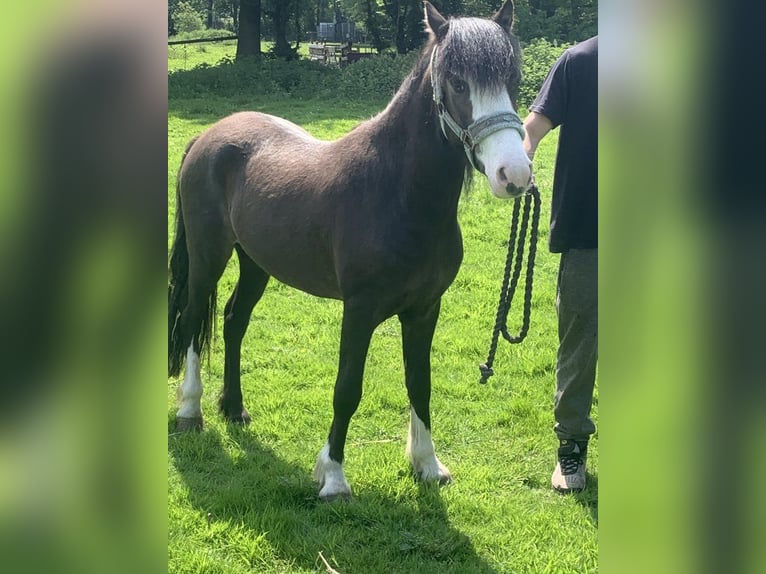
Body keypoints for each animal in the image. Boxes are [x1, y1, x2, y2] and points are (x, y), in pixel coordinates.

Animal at [169, 0, 532, 502]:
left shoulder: (425, 309)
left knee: (233, 320)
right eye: (458, 82)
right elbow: (347, 389)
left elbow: (420, 383)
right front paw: (334, 478)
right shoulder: (359, 310)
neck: (398, 194)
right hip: (209, 255)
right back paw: (190, 412)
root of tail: (206, 138)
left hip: (256, 262)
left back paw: (235, 408)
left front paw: (428, 465)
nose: (514, 174)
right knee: (190, 322)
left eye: (513, 78)